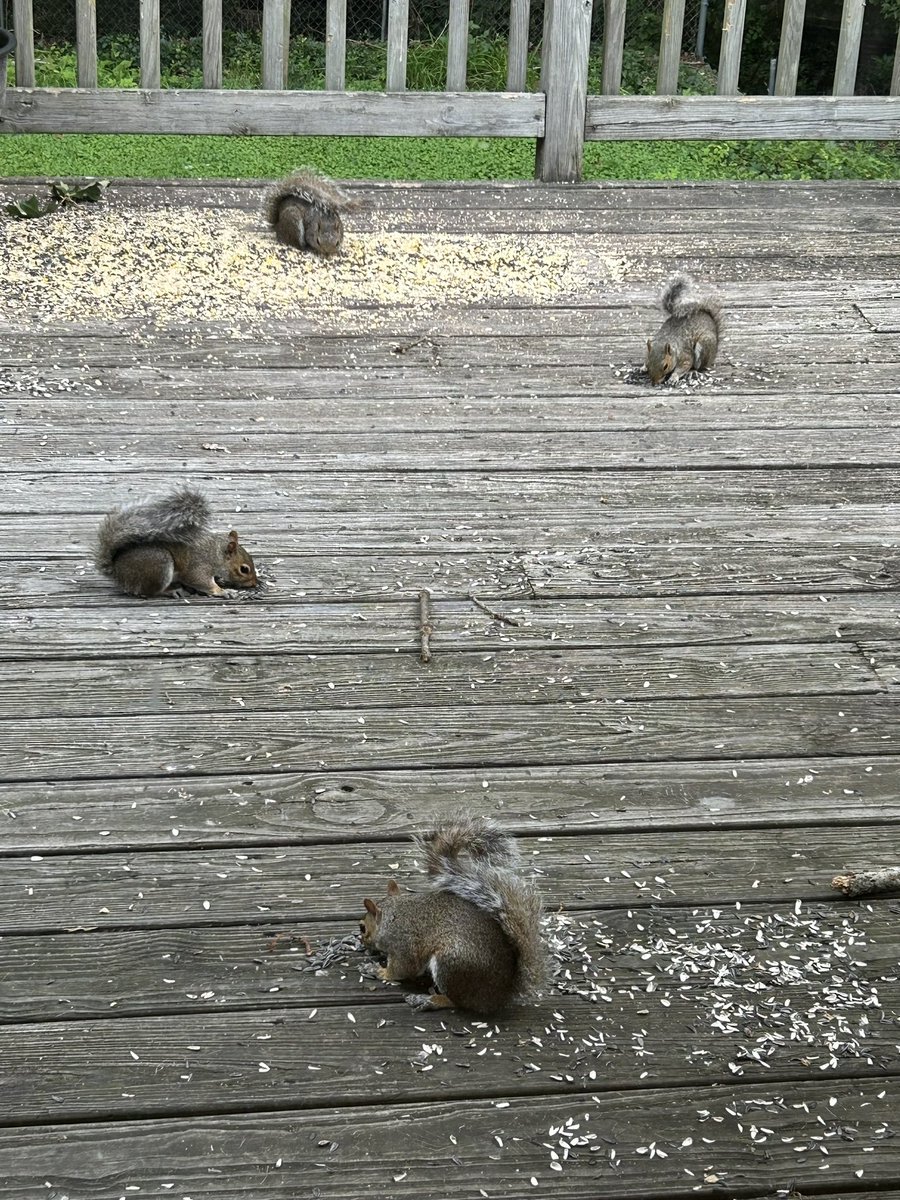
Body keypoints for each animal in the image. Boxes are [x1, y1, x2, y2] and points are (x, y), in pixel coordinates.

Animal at [362, 816, 549, 1012]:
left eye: (363, 928)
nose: (362, 942)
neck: (392, 914)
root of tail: (501, 994)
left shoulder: (403, 944)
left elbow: (403, 969)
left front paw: (380, 970)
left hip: (450, 965)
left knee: (456, 1001)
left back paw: (429, 1000)